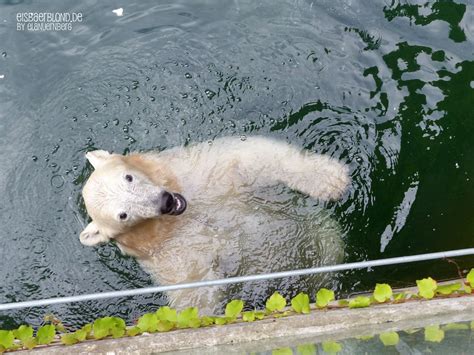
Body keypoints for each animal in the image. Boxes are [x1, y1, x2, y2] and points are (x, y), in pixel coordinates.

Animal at [79, 136, 350, 314]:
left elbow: (249, 157)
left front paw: (333, 180)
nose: (165, 202)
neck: (177, 218)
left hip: (320, 232)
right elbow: (194, 290)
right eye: (123, 214)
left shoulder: (194, 175)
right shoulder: (170, 255)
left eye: (128, 177)